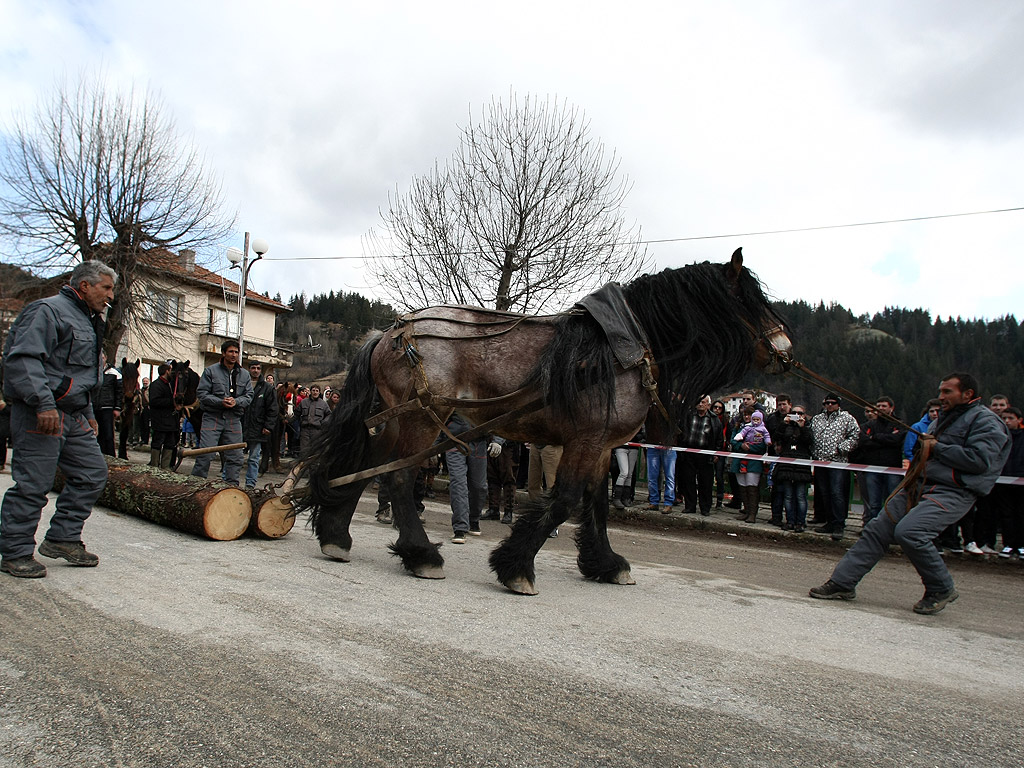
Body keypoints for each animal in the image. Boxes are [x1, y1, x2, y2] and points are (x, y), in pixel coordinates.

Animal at [292, 249, 794, 598]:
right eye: (746, 299)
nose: (786, 350)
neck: (620, 350)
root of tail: (390, 332)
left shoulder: (603, 446)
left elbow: (596, 503)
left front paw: (605, 563)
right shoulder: (587, 440)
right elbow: (566, 499)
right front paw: (516, 567)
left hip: (403, 419)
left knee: (365, 469)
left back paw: (336, 536)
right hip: (421, 420)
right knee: (396, 478)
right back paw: (421, 554)